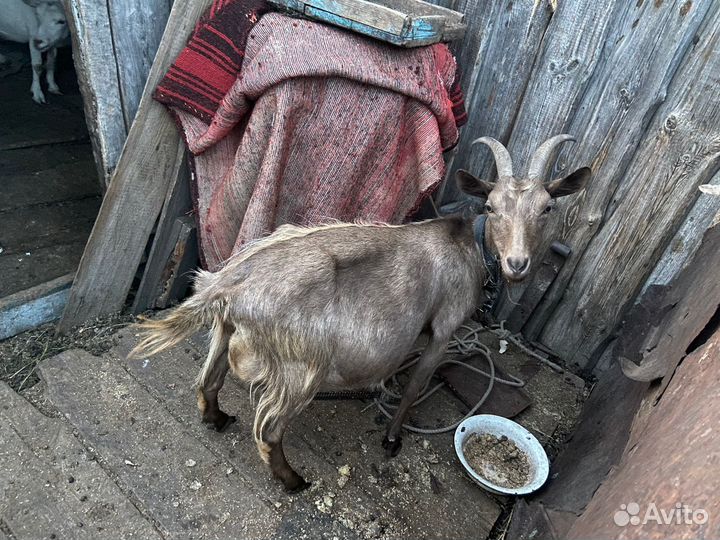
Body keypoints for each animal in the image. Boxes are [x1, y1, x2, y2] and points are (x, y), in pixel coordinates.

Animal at [130, 135, 591, 492]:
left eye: (547, 208)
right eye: (492, 206)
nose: (517, 264)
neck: (470, 247)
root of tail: (228, 286)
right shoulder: (443, 329)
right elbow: (414, 385)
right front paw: (391, 440)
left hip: (226, 332)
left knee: (207, 381)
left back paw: (218, 419)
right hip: (301, 366)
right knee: (269, 431)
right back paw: (294, 481)